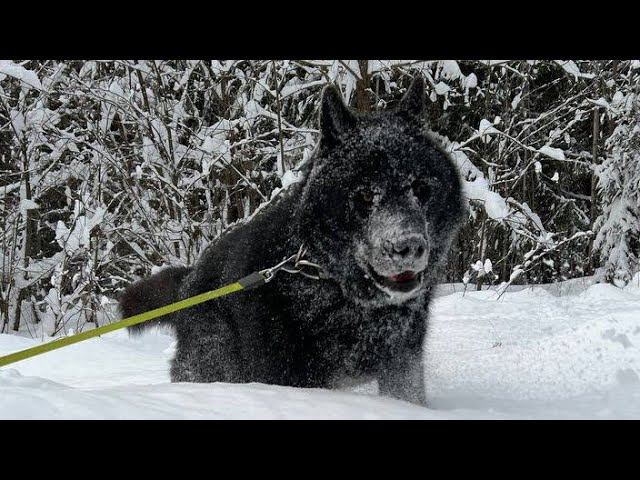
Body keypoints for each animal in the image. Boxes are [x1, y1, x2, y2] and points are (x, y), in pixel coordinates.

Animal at [117, 79, 462, 404]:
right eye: (365, 195)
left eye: (420, 188)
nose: (408, 247)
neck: (328, 283)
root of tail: (188, 279)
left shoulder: (402, 364)